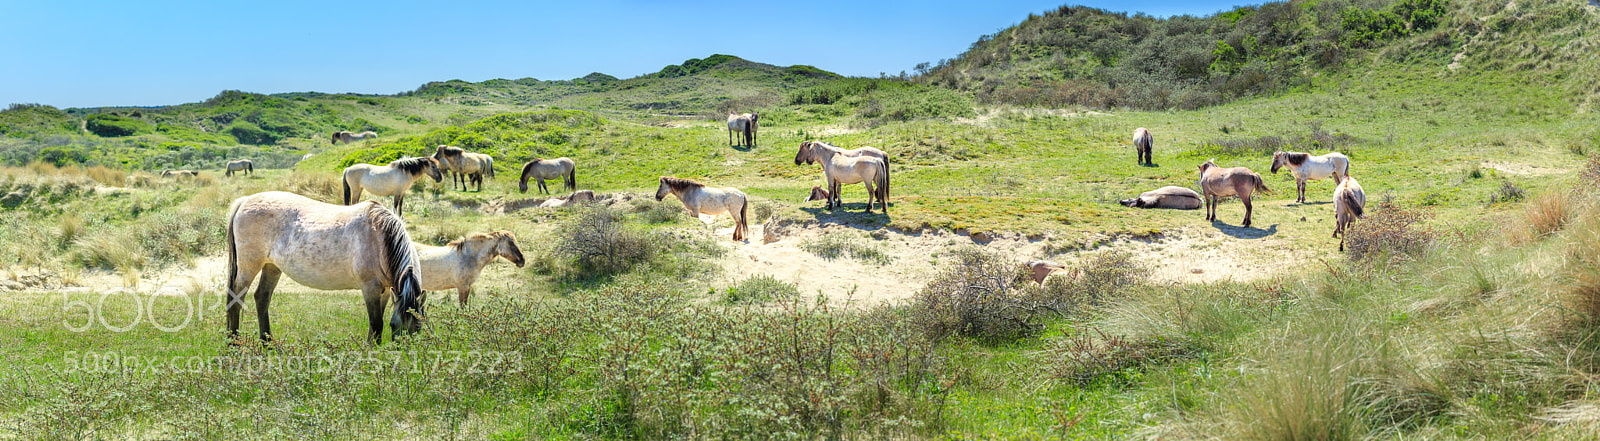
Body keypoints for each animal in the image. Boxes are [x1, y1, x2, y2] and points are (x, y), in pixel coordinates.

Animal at [224, 191, 426, 343]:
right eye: (395, 325)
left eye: (418, 326)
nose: (404, 355)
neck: (379, 238)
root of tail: (244, 201)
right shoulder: (370, 288)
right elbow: (376, 325)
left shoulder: (384, 291)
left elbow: (376, 325)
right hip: (249, 266)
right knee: (236, 299)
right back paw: (233, 343)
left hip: (271, 266)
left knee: (262, 298)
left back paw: (268, 344)